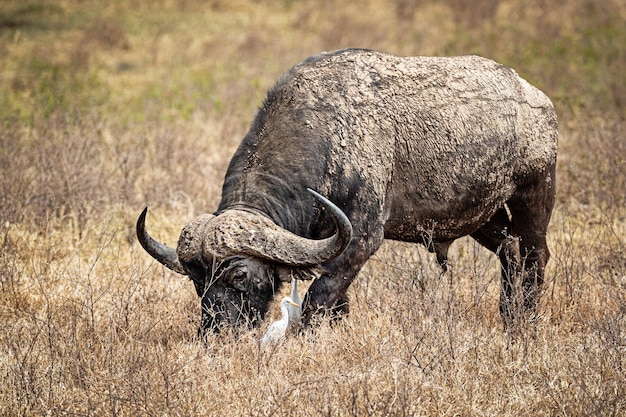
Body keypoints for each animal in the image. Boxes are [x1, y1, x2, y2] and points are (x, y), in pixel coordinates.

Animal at [136, 48, 556, 334]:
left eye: (239, 276)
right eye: (196, 280)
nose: (216, 333)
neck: (325, 135)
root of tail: (538, 99)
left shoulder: (361, 238)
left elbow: (318, 300)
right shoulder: (330, 244)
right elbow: (338, 305)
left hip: (536, 193)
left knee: (533, 256)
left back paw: (525, 324)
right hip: (482, 217)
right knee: (510, 254)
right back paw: (509, 316)